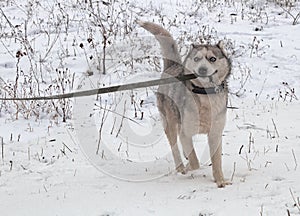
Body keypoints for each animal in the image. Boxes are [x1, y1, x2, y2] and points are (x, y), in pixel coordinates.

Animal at [138, 20, 232, 187]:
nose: (202, 69)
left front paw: (220, 181)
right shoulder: (186, 132)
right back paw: (181, 167)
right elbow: (195, 162)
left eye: (212, 59)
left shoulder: (215, 133)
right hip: (170, 122)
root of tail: (172, 66)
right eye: (196, 59)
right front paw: (189, 167)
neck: (205, 95)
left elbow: (217, 161)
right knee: (174, 147)